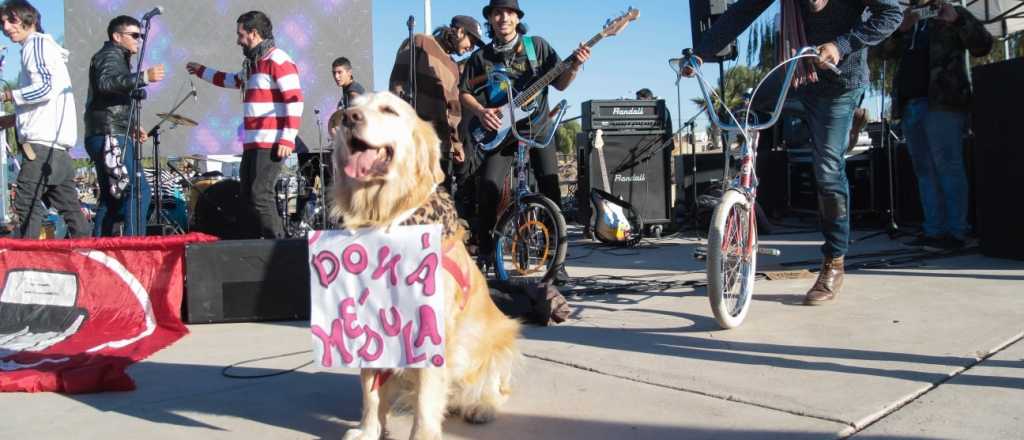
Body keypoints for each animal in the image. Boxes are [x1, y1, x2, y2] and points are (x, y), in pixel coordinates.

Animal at [331, 91, 520, 437]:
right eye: (352, 107)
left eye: (388, 110)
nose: (349, 118)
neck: (384, 218)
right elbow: (371, 392)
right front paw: (368, 430)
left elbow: (426, 399)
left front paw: (421, 434)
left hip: (503, 339)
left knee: (498, 388)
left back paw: (481, 406)